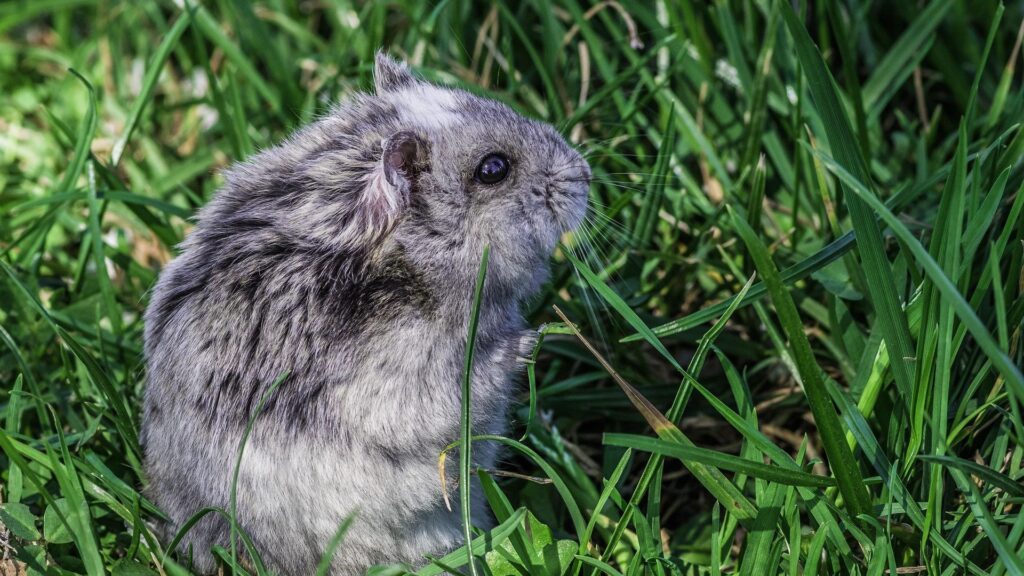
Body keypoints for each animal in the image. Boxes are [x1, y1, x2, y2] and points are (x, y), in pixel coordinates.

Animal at [141, 53, 590, 575]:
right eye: (493, 169)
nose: (585, 173)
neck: (411, 266)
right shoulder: (403, 381)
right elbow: (472, 378)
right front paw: (533, 339)